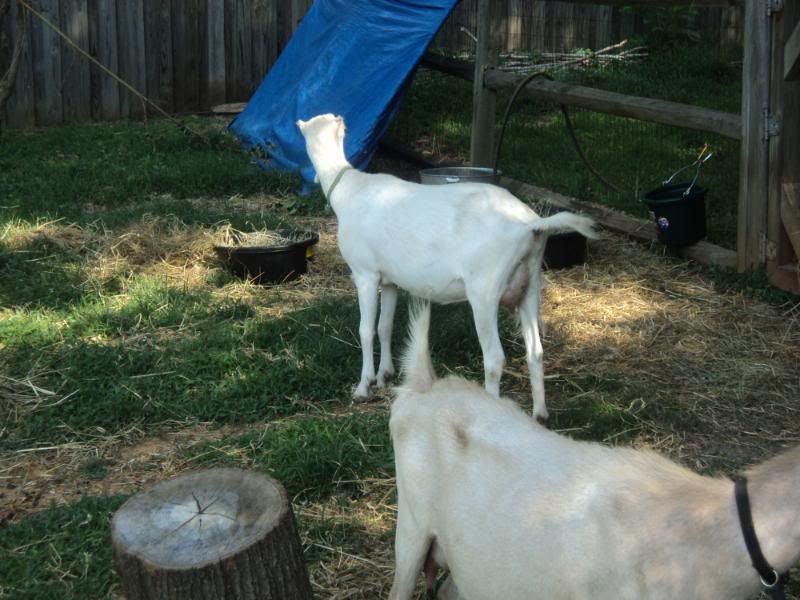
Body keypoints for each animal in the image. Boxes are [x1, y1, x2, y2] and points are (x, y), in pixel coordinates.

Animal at [296, 113, 596, 421]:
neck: (348, 189)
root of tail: (530, 224)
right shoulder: (390, 279)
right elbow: (385, 326)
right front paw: (385, 376)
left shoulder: (365, 273)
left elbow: (366, 331)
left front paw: (363, 387)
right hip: (531, 283)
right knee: (535, 351)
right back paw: (540, 414)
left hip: (485, 290)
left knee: (494, 358)